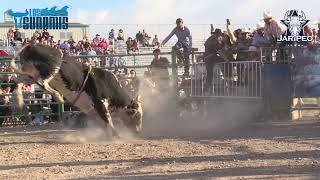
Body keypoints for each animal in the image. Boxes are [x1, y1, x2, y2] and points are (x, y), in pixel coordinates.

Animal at [10, 43, 142, 136]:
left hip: (29, 74)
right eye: (137, 115)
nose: (138, 131)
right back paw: (57, 96)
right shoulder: (99, 102)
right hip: (52, 66)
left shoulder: (93, 111)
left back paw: (19, 100)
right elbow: (108, 119)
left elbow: (104, 122)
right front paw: (116, 135)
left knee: (18, 81)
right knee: (42, 82)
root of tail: (31, 45)